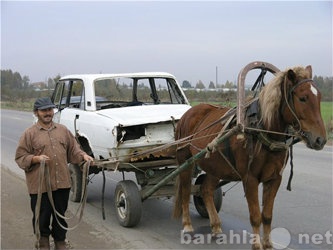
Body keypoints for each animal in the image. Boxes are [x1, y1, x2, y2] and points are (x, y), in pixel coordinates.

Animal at [172, 66, 326, 250]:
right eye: (302, 98)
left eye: (319, 97)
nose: (320, 140)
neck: (262, 130)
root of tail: (188, 113)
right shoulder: (250, 179)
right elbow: (255, 216)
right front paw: (257, 246)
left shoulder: (274, 179)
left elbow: (267, 215)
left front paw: (268, 245)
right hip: (185, 160)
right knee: (186, 190)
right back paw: (188, 225)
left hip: (215, 165)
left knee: (206, 189)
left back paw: (216, 226)